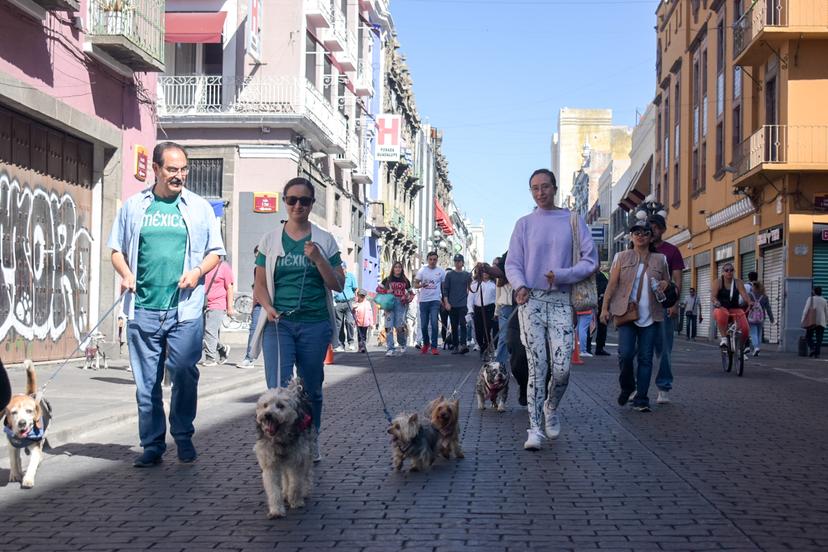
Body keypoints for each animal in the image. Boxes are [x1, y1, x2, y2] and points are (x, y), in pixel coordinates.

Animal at [252, 378, 314, 516]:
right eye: (265, 405)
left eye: (280, 406)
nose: (267, 415)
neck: (280, 439)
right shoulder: (270, 465)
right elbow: (273, 489)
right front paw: (276, 510)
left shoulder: (297, 460)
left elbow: (296, 483)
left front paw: (296, 501)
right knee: (285, 476)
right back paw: (285, 493)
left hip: (307, 453)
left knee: (305, 475)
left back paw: (303, 491)